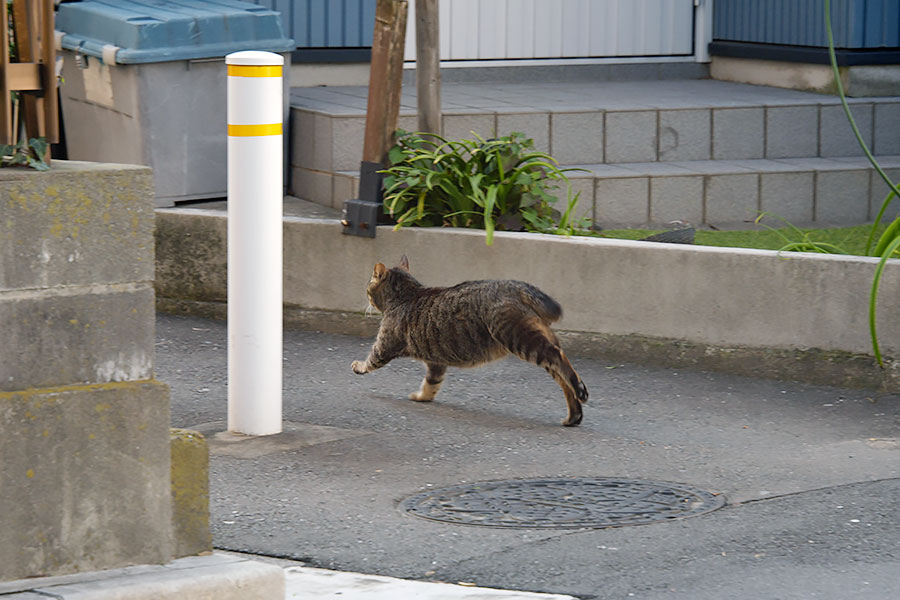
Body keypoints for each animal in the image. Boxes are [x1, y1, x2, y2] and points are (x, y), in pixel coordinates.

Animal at [348, 255, 588, 424]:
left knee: (559, 359)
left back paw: (581, 391)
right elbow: (431, 384)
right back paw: (574, 415)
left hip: (519, 338)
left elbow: (371, 360)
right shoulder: (436, 362)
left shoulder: (384, 346)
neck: (405, 295)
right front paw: (422, 396)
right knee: (562, 376)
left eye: (368, 287)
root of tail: (514, 284)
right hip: (537, 339)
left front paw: (358, 366)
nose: (366, 297)